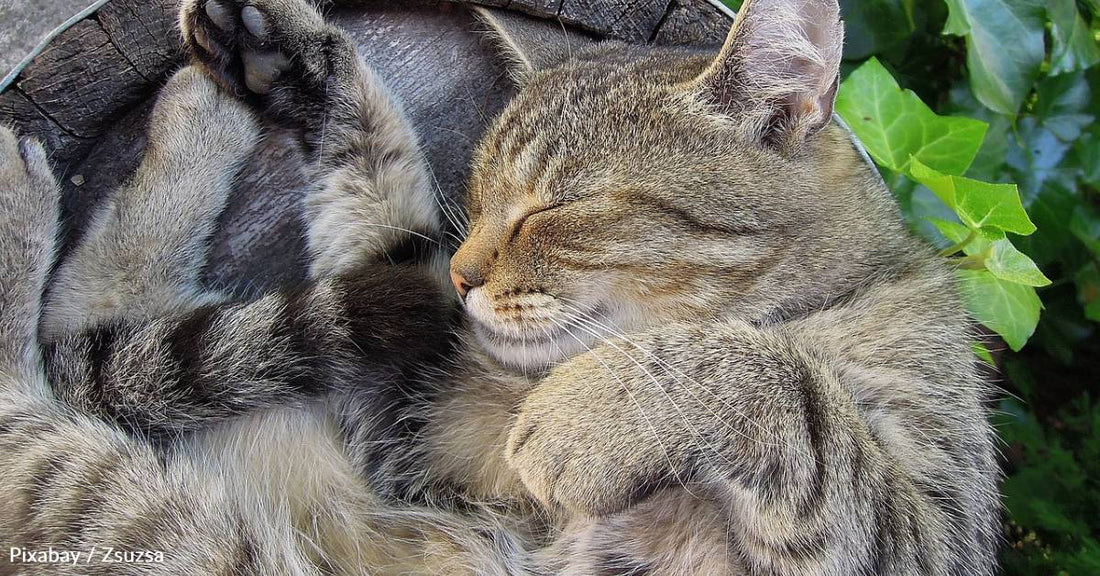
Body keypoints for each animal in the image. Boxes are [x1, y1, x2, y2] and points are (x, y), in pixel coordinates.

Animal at [0, 0, 998, 571]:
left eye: (555, 208)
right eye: (478, 201)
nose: (462, 271)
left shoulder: (934, 535)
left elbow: (782, 385)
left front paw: (595, 413)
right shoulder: (403, 403)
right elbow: (377, 187)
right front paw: (297, 51)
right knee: (65, 352)